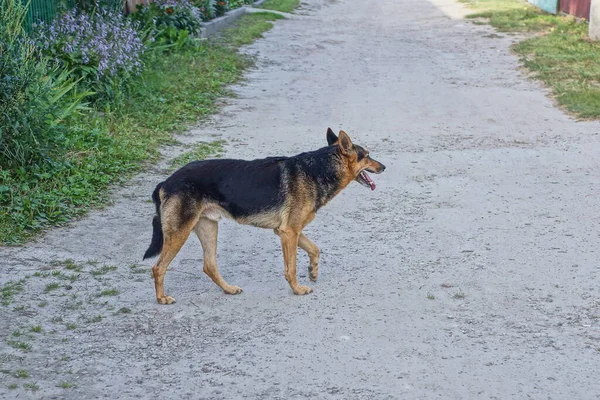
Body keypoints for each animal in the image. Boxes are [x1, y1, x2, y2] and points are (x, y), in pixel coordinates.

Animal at [144, 128, 386, 304]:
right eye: (367, 156)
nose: (384, 167)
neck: (319, 168)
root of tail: (166, 182)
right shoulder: (289, 233)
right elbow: (291, 267)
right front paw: (297, 289)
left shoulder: (287, 231)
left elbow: (314, 249)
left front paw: (313, 271)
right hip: (179, 233)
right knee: (158, 267)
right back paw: (161, 298)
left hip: (209, 228)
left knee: (209, 265)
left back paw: (228, 289)